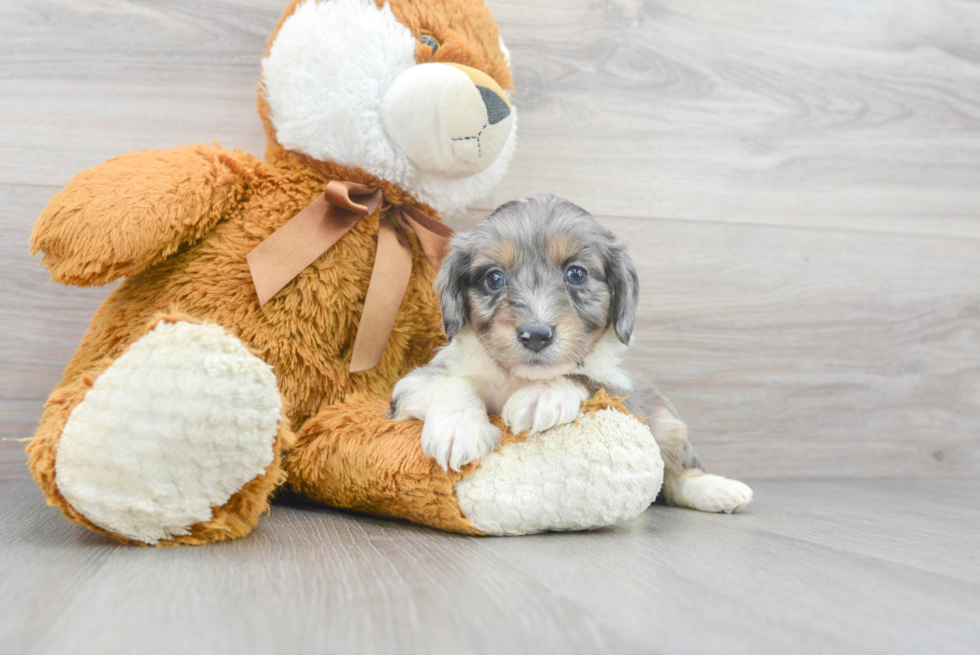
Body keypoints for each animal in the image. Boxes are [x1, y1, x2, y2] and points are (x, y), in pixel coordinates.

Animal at [388, 195, 752, 512]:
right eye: (494, 278)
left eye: (576, 274)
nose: (535, 335)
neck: (517, 377)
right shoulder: (411, 385)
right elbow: (450, 383)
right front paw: (459, 429)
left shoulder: (622, 391)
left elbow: (584, 376)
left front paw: (542, 395)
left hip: (665, 420)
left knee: (675, 471)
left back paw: (717, 489)